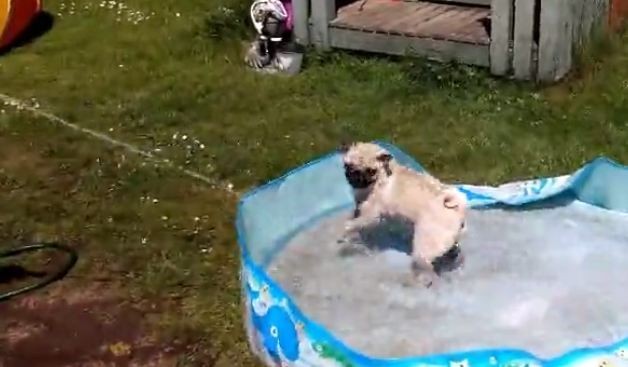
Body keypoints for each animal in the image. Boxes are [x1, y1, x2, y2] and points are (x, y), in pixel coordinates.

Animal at [338, 142, 466, 288]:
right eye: (348, 166)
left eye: (371, 171)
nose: (355, 177)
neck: (383, 176)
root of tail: (457, 209)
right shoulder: (361, 206)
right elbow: (356, 217)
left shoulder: (370, 215)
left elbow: (353, 224)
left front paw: (346, 232)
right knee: (452, 252)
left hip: (423, 247)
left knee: (426, 267)